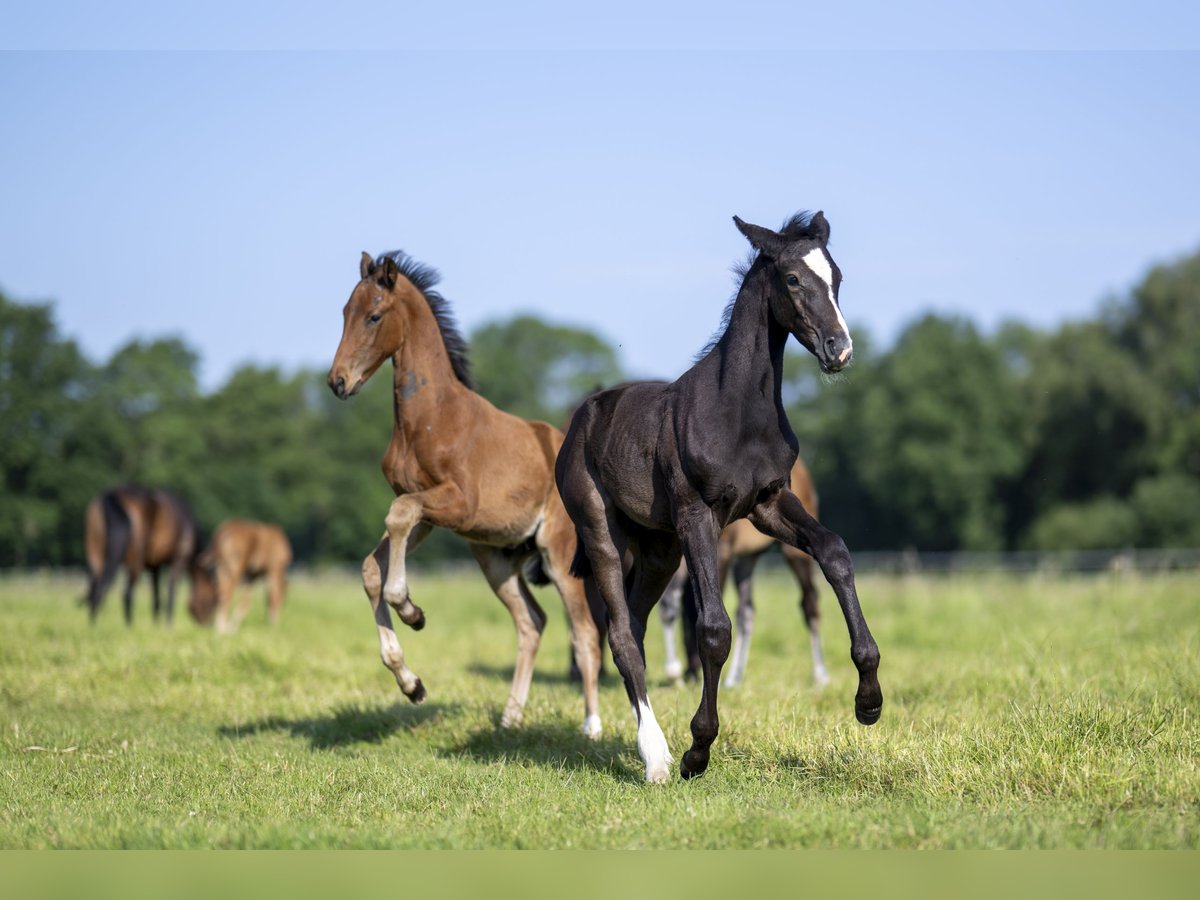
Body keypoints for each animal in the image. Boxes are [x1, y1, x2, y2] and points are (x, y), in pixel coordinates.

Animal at [84, 487, 198, 628]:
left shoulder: (155, 565)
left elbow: (156, 595)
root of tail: (110, 496)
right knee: (126, 593)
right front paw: (168, 623)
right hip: (135, 561)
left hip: (96, 554)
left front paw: (156, 624)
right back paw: (129, 626)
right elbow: (171, 590)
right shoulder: (178, 560)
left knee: (96, 588)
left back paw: (93, 624)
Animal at [326, 248, 600, 739]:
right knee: (532, 623)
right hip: (496, 558)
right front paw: (412, 684)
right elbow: (372, 566)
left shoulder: (457, 504)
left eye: (374, 315)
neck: (428, 418)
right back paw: (510, 719)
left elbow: (397, 517)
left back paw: (591, 726)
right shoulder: (430, 516)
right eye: (344, 313)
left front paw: (411, 610)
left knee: (583, 633)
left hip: (558, 552)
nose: (337, 381)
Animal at [657, 458, 825, 691]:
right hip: (747, 558)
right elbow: (671, 605)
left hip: (794, 553)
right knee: (746, 612)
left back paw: (820, 675)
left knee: (810, 603)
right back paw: (733, 678)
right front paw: (676, 673)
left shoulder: (721, 551)